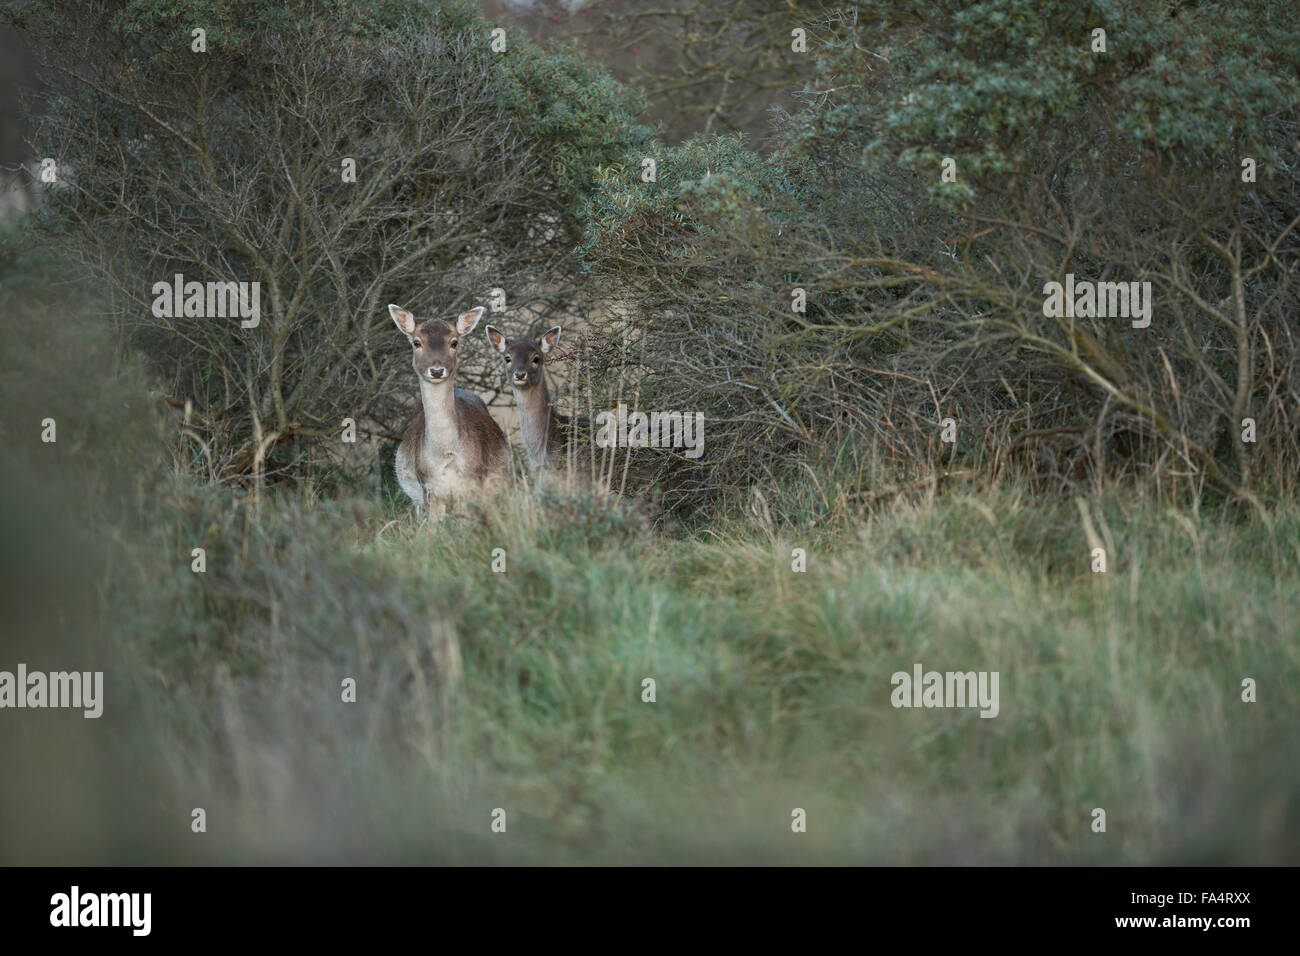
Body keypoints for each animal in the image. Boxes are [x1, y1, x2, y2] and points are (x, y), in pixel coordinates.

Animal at [384, 304, 506, 515]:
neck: (446, 456)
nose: (436, 370)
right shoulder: (428, 489)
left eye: (454, 342)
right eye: (416, 342)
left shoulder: (473, 485)